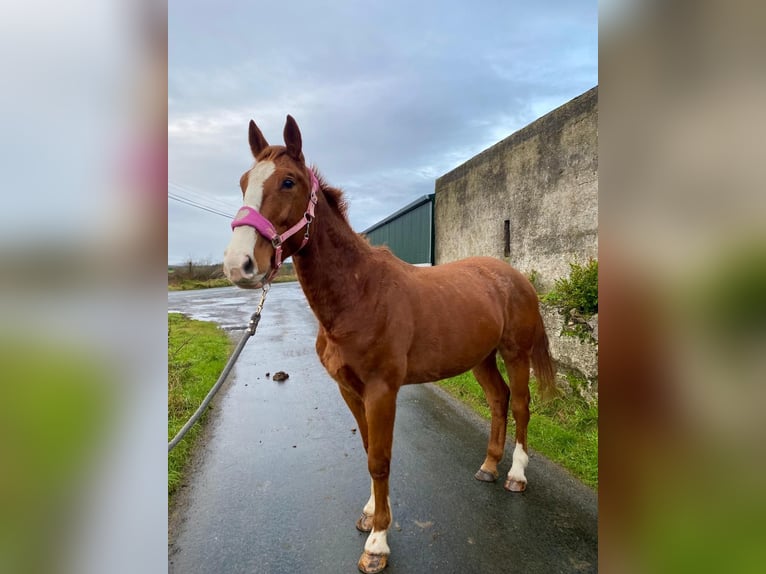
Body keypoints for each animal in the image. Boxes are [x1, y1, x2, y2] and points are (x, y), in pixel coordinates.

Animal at [222, 115, 560, 572]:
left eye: (288, 182)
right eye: (243, 182)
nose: (238, 265)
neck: (359, 294)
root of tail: (515, 276)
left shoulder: (382, 391)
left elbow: (379, 460)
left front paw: (378, 543)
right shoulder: (350, 390)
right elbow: (368, 450)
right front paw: (369, 515)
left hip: (515, 353)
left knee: (522, 404)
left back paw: (516, 475)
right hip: (481, 359)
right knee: (498, 399)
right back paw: (489, 466)